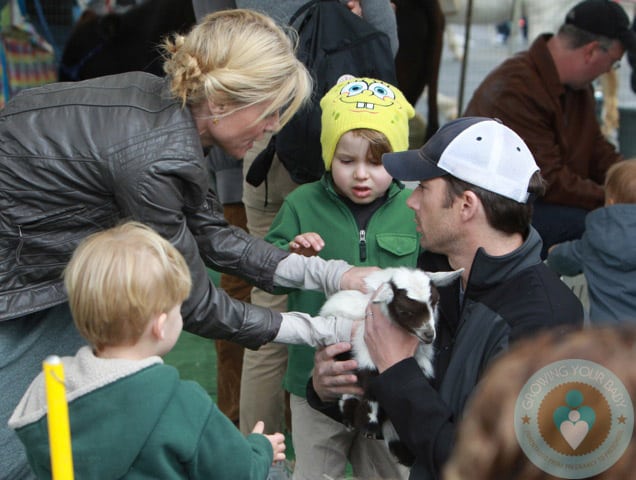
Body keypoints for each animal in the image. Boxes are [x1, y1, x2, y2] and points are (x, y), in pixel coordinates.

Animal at [320, 266, 460, 464]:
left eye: (435, 302)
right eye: (404, 311)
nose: (429, 335)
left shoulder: (420, 363)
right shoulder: (366, 353)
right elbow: (371, 388)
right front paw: (369, 426)